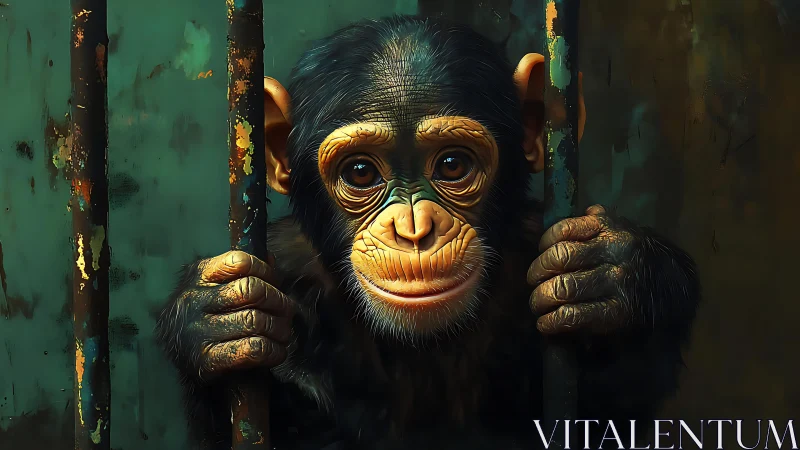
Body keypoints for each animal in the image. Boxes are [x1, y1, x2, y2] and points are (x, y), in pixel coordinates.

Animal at [156, 15, 699, 450]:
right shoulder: (285, 265)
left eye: (453, 164)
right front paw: (214, 321)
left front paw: (615, 276)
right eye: (360, 173)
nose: (414, 230)